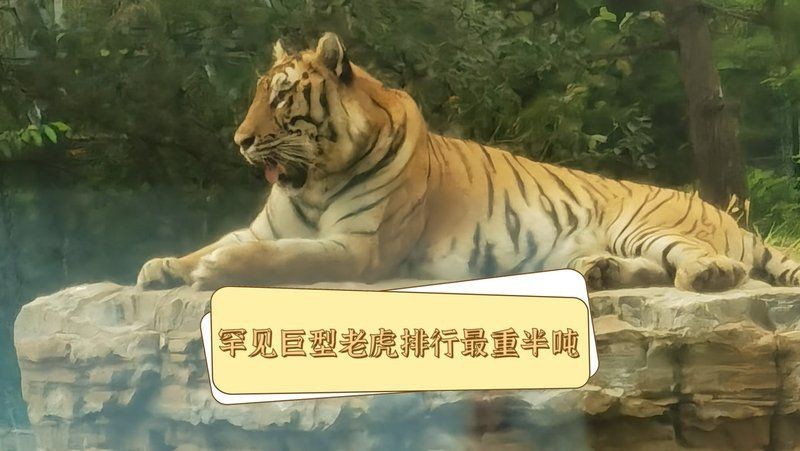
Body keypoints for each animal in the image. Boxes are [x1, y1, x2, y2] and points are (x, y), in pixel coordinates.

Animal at [136, 32, 800, 293]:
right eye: (257, 94)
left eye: (278, 97)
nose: (239, 140)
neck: (314, 182)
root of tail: (730, 218)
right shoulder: (265, 225)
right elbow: (221, 241)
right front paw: (163, 265)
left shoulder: (360, 248)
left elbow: (282, 259)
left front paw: (214, 270)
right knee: (648, 269)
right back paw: (598, 271)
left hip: (649, 223)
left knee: (698, 261)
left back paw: (706, 276)